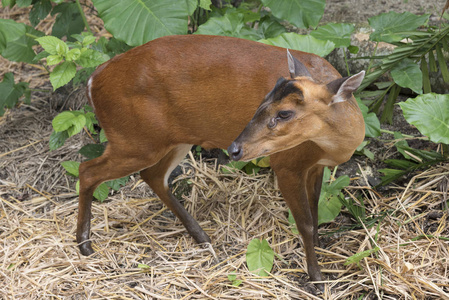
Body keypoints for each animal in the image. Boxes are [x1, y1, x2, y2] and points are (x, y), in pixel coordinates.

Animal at [77, 34, 364, 288]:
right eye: (262, 102)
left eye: (284, 113)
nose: (234, 149)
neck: (335, 146)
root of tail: (92, 81)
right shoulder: (287, 164)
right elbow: (304, 222)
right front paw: (316, 278)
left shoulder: (316, 166)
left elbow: (315, 213)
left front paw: (320, 249)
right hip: (135, 140)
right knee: (87, 169)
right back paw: (84, 245)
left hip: (169, 139)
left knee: (153, 176)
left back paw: (202, 237)